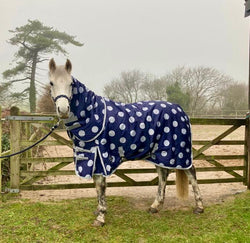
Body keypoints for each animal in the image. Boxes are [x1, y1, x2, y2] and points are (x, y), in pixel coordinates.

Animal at [48, 58, 203, 226]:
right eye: (51, 83)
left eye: (70, 83)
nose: (63, 110)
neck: (91, 115)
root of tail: (180, 110)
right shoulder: (90, 156)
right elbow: (97, 186)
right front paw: (98, 211)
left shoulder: (99, 156)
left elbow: (100, 186)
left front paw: (100, 217)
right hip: (160, 153)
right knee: (163, 174)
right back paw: (155, 207)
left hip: (179, 151)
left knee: (191, 172)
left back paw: (199, 207)